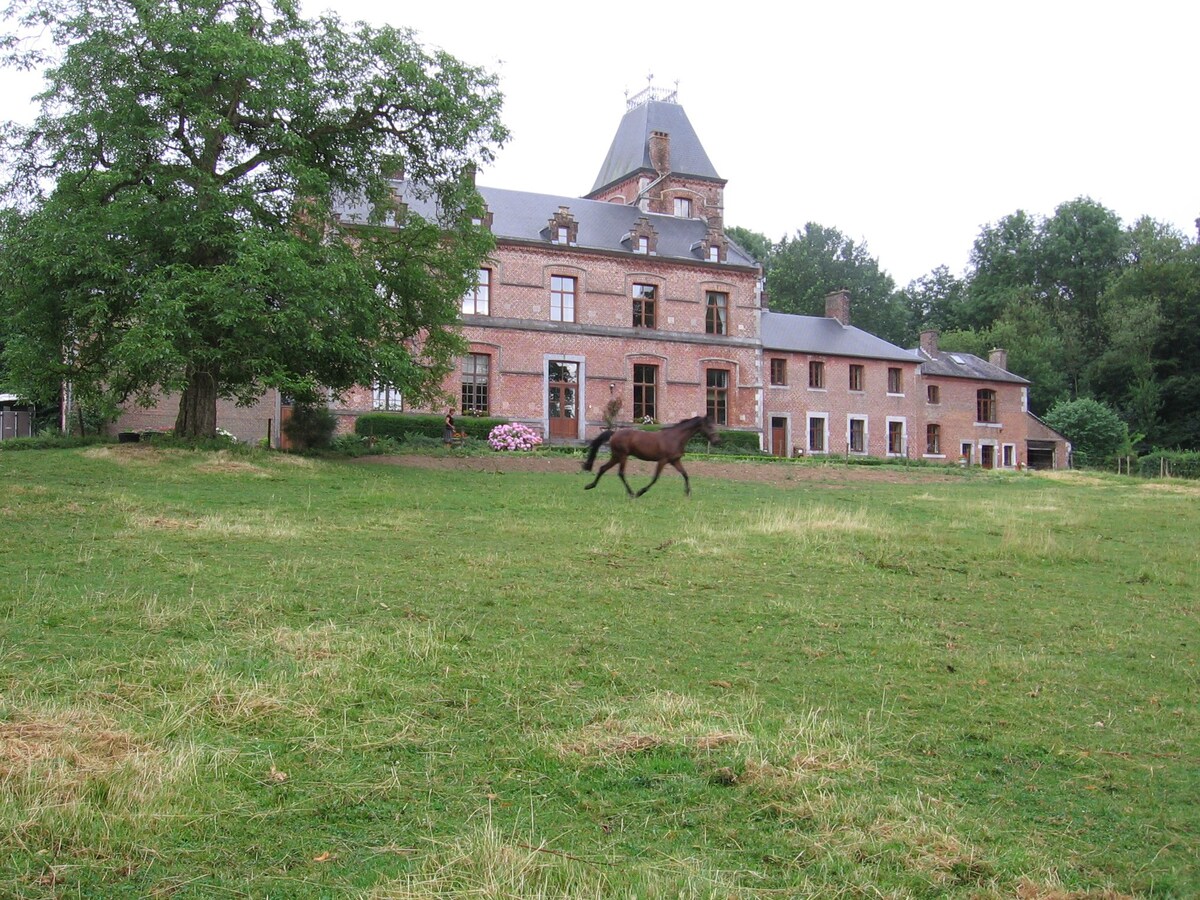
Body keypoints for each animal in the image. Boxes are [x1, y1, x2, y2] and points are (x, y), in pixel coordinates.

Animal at [583, 417, 720, 496]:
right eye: (709, 426)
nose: (717, 441)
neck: (675, 438)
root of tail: (614, 433)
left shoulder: (675, 460)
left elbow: (685, 474)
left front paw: (688, 492)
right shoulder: (663, 460)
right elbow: (655, 478)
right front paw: (641, 492)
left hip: (616, 456)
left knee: (603, 468)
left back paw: (589, 486)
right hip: (622, 456)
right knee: (620, 473)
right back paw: (632, 493)